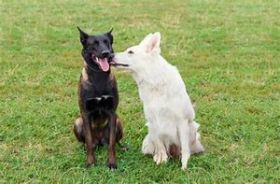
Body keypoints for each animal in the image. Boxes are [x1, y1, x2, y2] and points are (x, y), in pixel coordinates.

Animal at [74, 26, 123, 169]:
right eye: (94, 44)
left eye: (107, 42)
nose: (106, 53)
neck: (99, 76)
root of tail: (100, 140)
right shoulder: (85, 113)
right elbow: (89, 141)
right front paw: (90, 162)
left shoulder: (112, 113)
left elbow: (111, 143)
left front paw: (112, 163)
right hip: (77, 122)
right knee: (87, 142)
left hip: (118, 122)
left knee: (114, 141)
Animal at [111, 32, 203, 169]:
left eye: (130, 52)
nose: (109, 55)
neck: (154, 81)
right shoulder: (153, 121)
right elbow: (159, 144)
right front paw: (161, 157)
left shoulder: (182, 121)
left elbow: (185, 147)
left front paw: (184, 165)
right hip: (149, 136)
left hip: (192, 128)